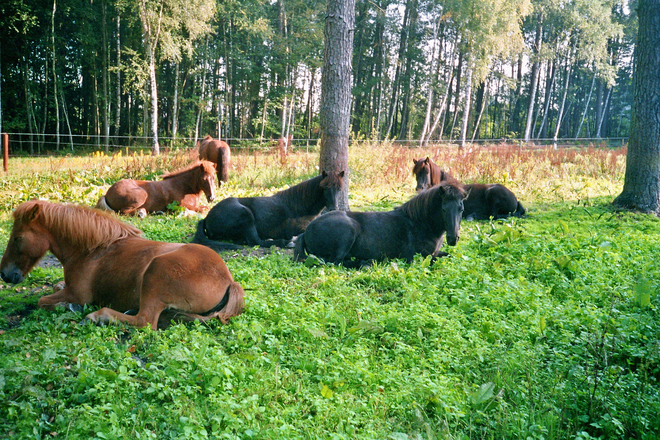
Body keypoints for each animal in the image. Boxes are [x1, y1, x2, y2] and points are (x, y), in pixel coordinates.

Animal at [0, 201, 245, 328]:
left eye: (17, 238)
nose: (5, 274)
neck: (92, 249)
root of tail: (228, 280)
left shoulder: (78, 294)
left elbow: (43, 300)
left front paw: (69, 307)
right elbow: (55, 287)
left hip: (155, 273)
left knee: (145, 321)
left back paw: (99, 316)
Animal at [192, 170, 346, 251]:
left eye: (339, 188)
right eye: (325, 188)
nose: (334, 208)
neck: (300, 207)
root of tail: (207, 218)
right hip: (245, 215)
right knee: (256, 241)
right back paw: (284, 242)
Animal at [294, 180, 464, 268]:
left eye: (461, 209)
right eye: (443, 209)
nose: (453, 238)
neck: (419, 224)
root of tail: (306, 231)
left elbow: (447, 255)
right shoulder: (414, 257)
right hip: (347, 233)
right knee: (334, 262)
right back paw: (366, 262)